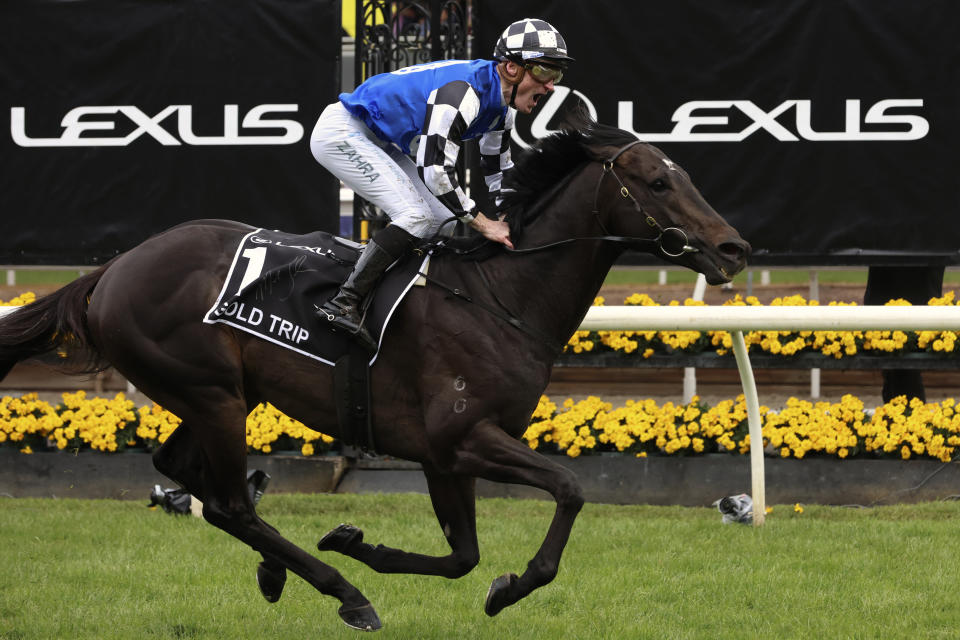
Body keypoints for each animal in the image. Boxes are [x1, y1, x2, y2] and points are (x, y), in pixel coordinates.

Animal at [0, 120, 752, 632]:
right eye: (657, 183)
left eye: (684, 177)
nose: (734, 247)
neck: (499, 294)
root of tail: (109, 271)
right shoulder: (463, 438)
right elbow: (568, 489)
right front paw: (510, 586)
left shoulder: (446, 457)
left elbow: (463, 556)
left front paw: (356, 540)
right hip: (210, 392)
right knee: (229, 502)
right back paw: (344, 593)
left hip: (224, 394)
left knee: (189, 476)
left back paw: (279, 569)